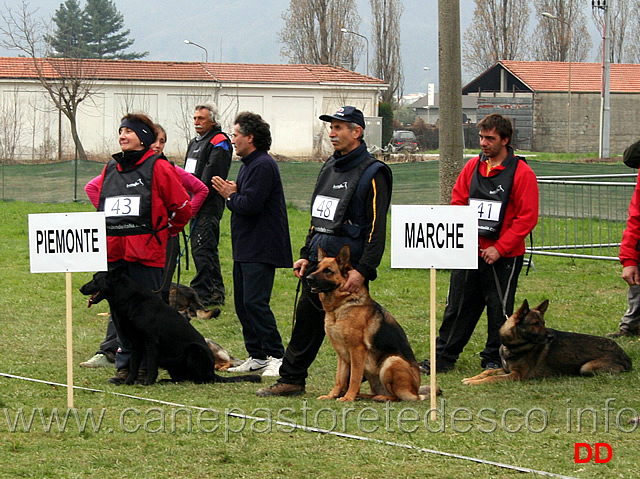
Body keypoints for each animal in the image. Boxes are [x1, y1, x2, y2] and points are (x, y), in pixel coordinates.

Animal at [81, 272, 262, 388]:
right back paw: (167, 381)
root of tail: (212, 371)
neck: (129, 299)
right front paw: (128, 382)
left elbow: (151, 366)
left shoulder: (150, 342)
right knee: (182, 378)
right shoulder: (135, 343)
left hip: (194, 350)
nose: (80, 289)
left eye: (95, 279)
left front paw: (147, 384)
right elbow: (133, 366)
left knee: (203, 379)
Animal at [306, 246, 440, 404]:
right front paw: (332, 395)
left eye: (328, 270)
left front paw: (348, 397)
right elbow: (339, 378)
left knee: (397, 397)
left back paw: (381, 397)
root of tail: (415, 391)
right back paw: (365, 396)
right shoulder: (342, 354)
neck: (342, 306)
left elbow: (354, 378)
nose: (307, 279)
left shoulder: (357, 350)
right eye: (317, 268)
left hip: (391, 361)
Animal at [462, 300, 632, 386]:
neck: (513, 346)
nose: (551, 337)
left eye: (543, 323)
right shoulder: (505, 369)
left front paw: (473, 382)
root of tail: (625, 356)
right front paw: (472, 378)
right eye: (536, 324)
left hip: (586, 367)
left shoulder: (516, 375)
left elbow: (492, 378)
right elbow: (487, 372)